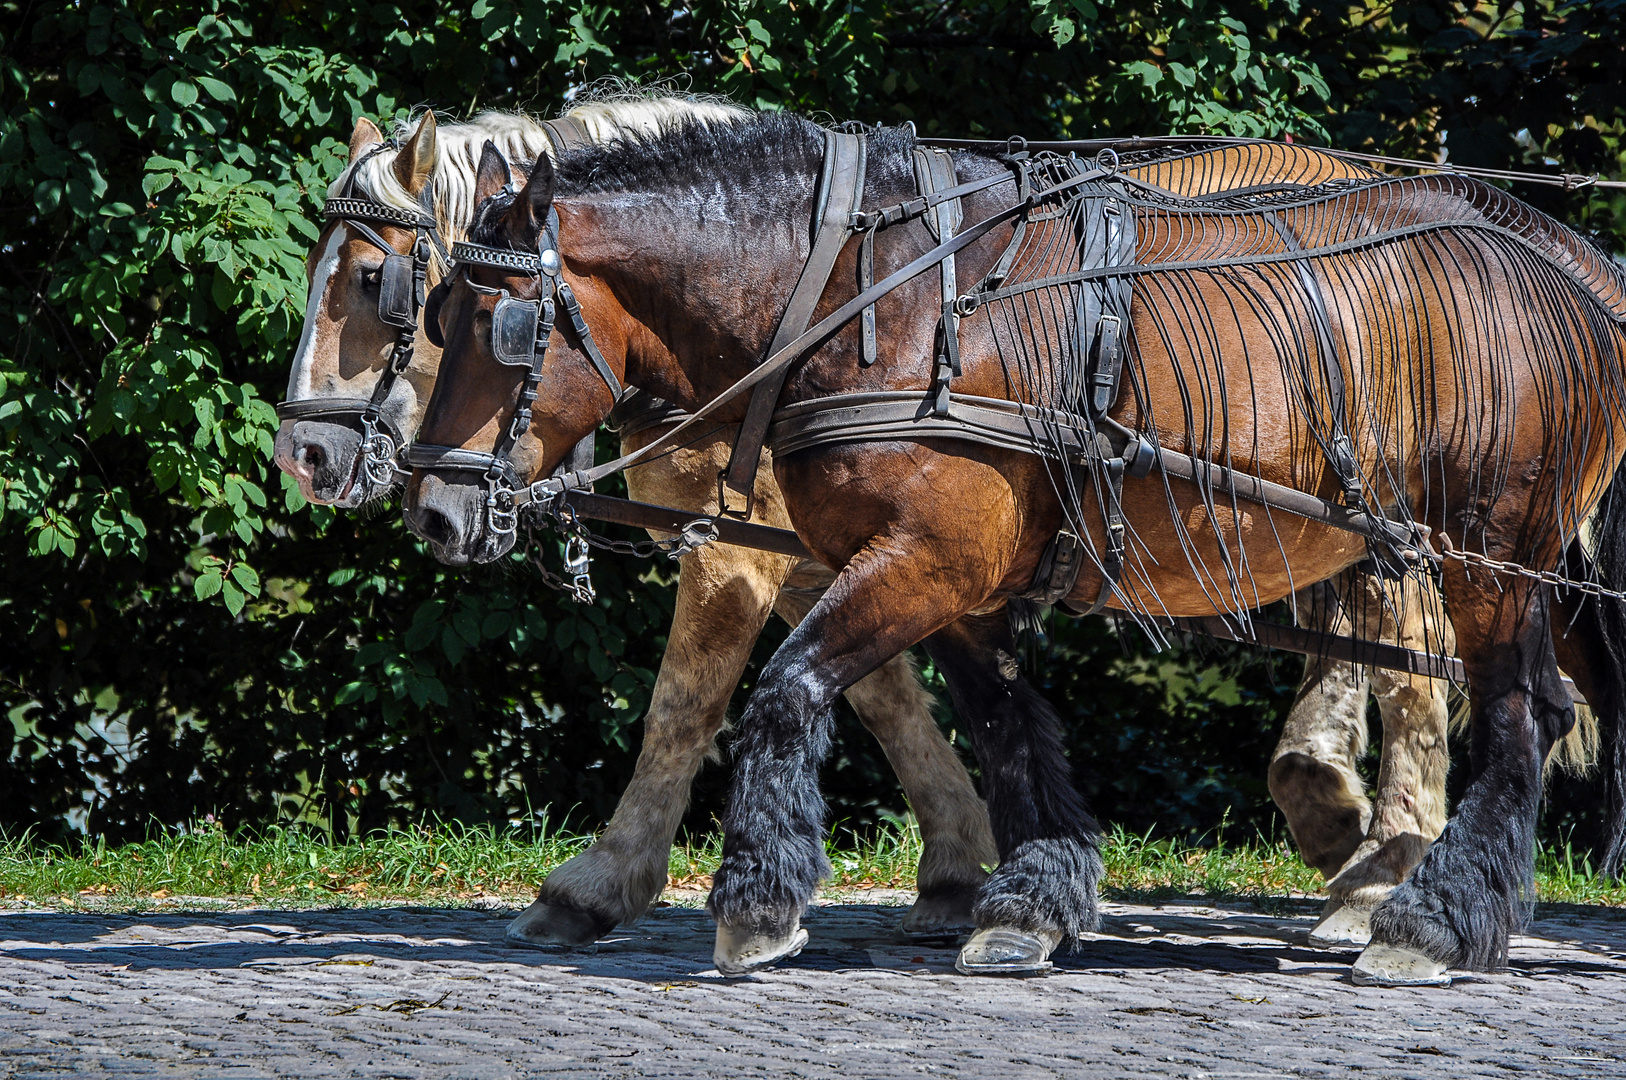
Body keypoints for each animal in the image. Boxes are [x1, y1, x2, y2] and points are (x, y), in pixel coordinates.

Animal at [399, 105, 1626, 982]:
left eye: (501, 326)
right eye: (429, 311)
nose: (434, 510)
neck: (870, 304)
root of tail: (1564, 260)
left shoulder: (923, 561)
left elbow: (785, 690)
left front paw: (757, 901)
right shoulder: (958, 580)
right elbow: (1005, 725)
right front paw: (1029, 901)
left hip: (1486, 552)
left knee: (1517, 715)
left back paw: (1432, 919)